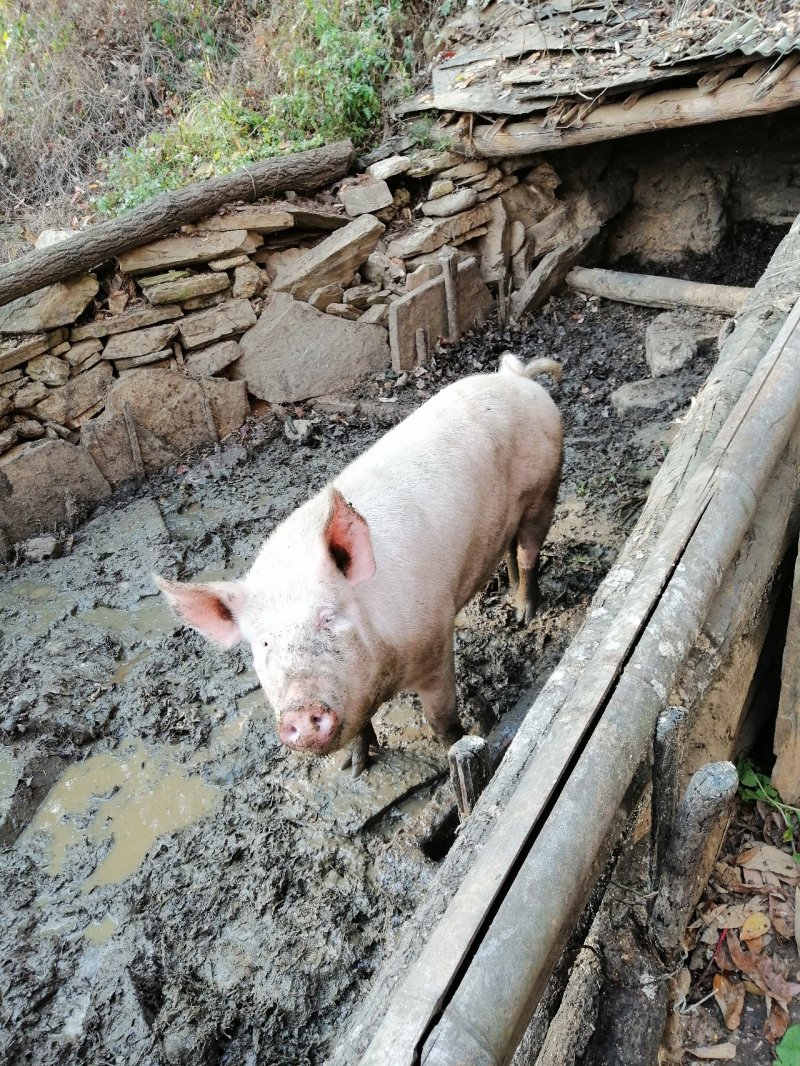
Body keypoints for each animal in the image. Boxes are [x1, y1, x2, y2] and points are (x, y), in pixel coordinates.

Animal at [153, 356, 558, 776]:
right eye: (263, 642)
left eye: (328, 617)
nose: (300, 713)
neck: (385, 675)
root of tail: (516, 378)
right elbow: (360, 727)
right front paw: (354, 769)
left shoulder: (435, 640)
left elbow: (441, 721)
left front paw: (455, 754)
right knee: (510, 547)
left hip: (545, 486)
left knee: (529, 552)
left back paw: (524, 614)